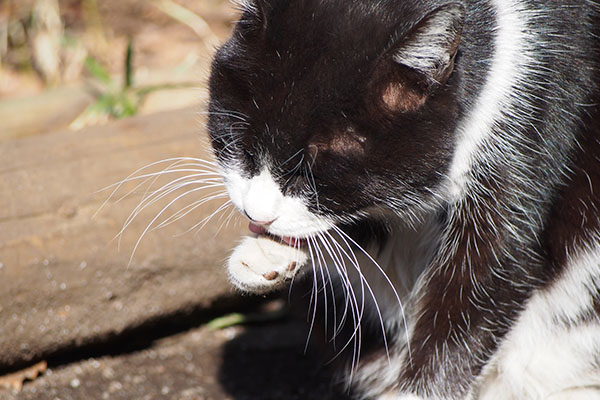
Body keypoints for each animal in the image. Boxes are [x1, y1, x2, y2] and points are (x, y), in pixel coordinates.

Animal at [205, 1, 600, 398]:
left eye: (310, 174)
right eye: (244, 148)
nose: (256, 214)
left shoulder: (527, 130)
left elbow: (479, 289)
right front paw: (266, 253)